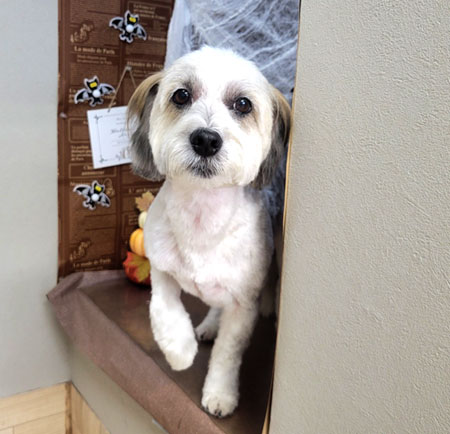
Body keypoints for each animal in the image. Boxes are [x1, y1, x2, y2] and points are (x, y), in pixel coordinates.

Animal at [127, 46, 290, 417]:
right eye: (181, 95)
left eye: (243, 104)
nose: (205, 138)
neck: (201, 216)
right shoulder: (160, 270)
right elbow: (163, 312)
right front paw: (180, 352)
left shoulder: (243, 305)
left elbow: (228, 353)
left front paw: (220, 394)